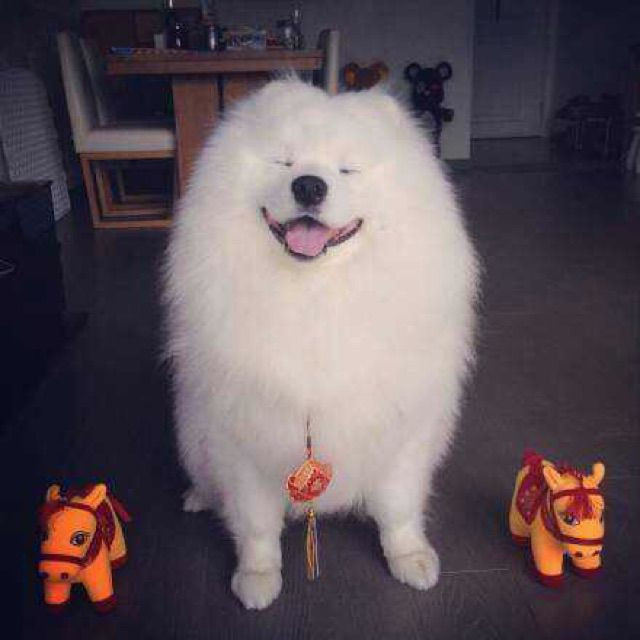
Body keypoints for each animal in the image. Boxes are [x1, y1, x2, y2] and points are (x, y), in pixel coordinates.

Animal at [164, 78, 478, 609]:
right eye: (284, 162)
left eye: (347, 168)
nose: (309, 185)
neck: (316, 297)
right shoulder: (244, 437)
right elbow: (255, 523)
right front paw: (257, 577)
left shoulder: (403, 430)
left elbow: (398, 507)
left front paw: (410, 558)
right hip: (193, 430)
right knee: (205, 475)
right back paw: (199, 496)